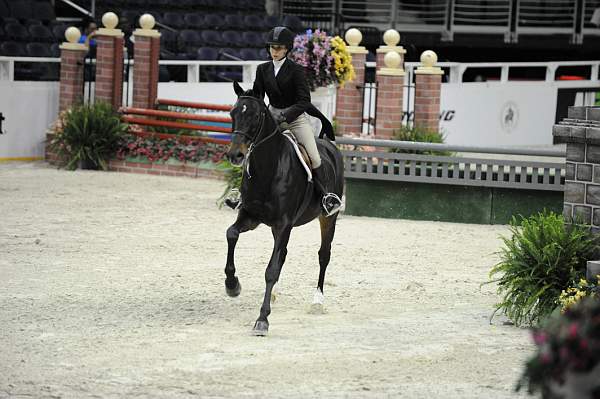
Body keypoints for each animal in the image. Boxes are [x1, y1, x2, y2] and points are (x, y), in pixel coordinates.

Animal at [224, 82, 344, 338]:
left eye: (255, 115)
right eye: (232, 113)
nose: (235, 155)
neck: (268, 167)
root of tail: (328, 144)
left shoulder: (284, 224)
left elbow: (271, 270)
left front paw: (262, 320)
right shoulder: (250, 217)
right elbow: (231, 234)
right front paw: (232, 285)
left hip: (328, 217)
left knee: (323, 255)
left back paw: (317, 300)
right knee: (283, 254)